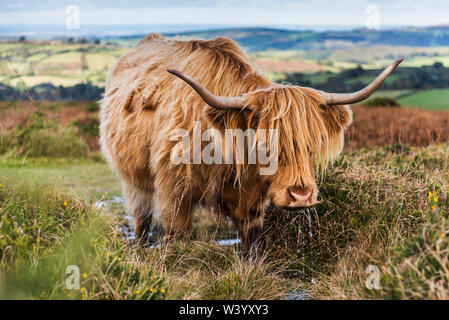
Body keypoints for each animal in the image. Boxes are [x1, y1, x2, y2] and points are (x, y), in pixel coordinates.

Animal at [100, 33, 400, 248]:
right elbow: (176, 236)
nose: (301, 195)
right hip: (134, 180)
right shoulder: (174, 191)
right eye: (266, 146)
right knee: (141, 219)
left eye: (312, 145)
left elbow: (252, 242)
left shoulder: (252, 199)